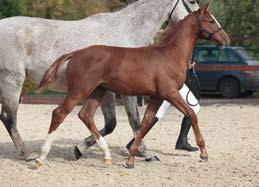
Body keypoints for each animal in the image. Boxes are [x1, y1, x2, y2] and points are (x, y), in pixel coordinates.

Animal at [36, 0, 230, 169]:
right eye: (210, 20)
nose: (225, 39)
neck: (169, 54)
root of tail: (76, 53)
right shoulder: (170, 93)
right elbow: (191, 114)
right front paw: (204, 153)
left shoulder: (157, 96)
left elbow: (144, 124)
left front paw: (131, 159)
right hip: (79, 91)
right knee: (59, 113)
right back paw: (40, 158)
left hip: (98, 91)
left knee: (86, 115)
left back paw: (105, 155)